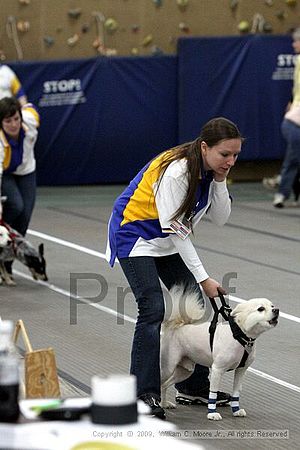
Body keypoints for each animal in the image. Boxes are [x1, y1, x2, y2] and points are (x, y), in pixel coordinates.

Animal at [161, 286, 280, 420]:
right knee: (160, 382)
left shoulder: (241, 370)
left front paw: (236, 410)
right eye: (260, 309)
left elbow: (236, 393)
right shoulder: (217, 370)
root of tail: (176, 326)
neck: (240, 336)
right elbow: (213, 393)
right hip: (168, 367)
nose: (276, 310)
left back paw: (164, 404)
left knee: (164, 385)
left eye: (272, 306)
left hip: (185, 371)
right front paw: (212, 414)